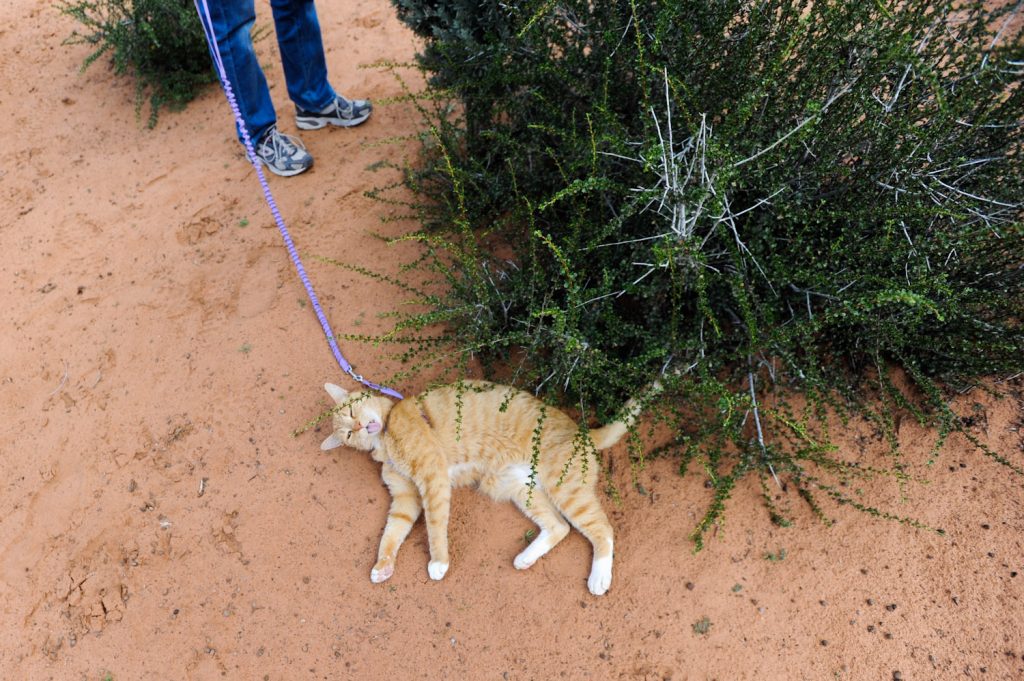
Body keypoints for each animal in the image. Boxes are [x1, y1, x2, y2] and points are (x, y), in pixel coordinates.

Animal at [319, 378, 638, 593]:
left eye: (352, 412)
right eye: (349, 433)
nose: (360, 427)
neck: (385, 439)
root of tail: (582, 433)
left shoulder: (432, 477)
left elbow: (435, 525)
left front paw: (439, 562)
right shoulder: (405, 498)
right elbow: (392, 532)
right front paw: (383, 566)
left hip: (565, 491)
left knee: (603, 529)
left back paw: (599, 578)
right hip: (519, 489)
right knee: (560, 526)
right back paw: (525, 558)